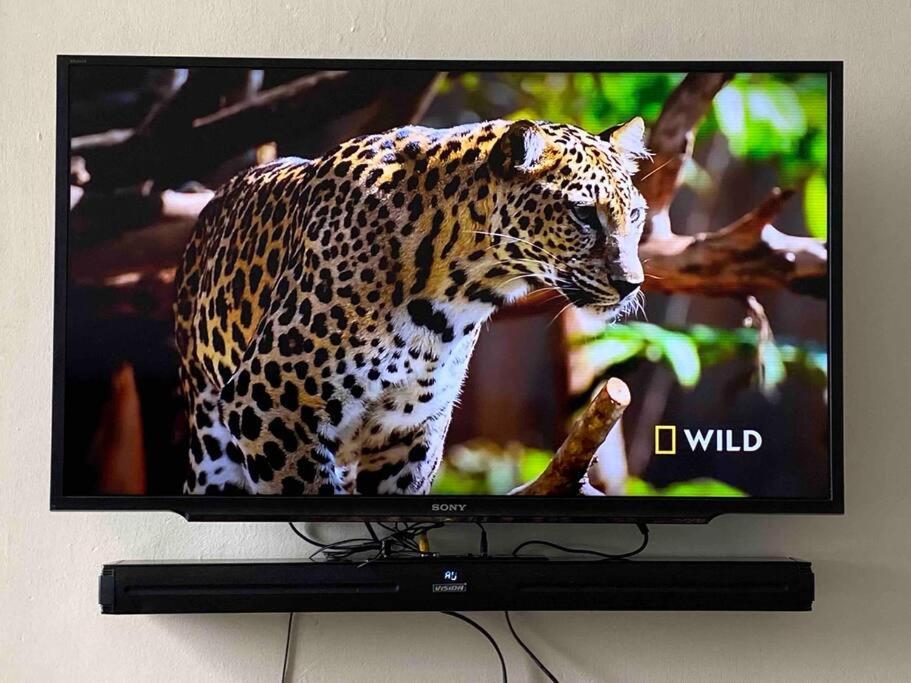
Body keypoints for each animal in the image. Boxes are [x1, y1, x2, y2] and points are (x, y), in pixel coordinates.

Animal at [176, 115, 648, 494]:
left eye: (636, 215)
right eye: (583, 214)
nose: (630, 284)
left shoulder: (410, 435)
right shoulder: (269, 403)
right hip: (212, 444)